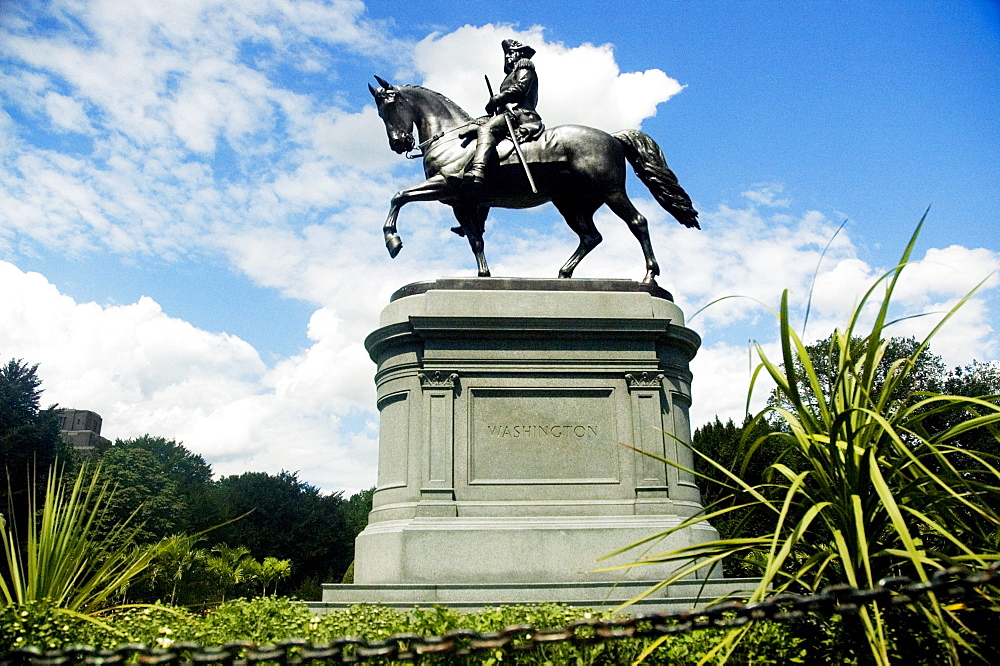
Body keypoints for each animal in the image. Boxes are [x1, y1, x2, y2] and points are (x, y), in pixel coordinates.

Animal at [366, 75, 696, 282]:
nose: (398, 143)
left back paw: (649, 276)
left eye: (391, 105)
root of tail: (612, 137)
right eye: (380, 113)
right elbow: (475, 239)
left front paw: (392, 240)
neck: (450, 136)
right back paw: (563, 275)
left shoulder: (446, 185)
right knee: (590, 237)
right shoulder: (463, 202)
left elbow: (399, 196)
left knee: (637, 223)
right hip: (571, 204)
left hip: (610, 192)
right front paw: (484, 276)